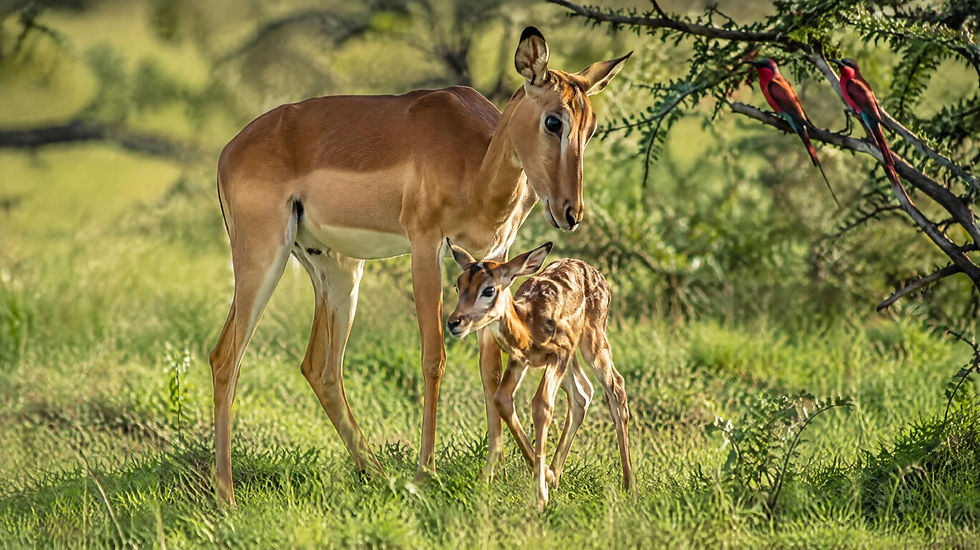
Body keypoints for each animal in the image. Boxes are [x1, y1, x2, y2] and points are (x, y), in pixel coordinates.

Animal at [446, 240, 634, 510]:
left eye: (489, 289)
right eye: (458, 285)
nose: (454, 322)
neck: (528, 326)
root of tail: (592, 271)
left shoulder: (559, 354)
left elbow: (541, 404)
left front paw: (540, 494)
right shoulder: (519, 360)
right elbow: (502, 399)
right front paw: (546, 475)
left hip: (592, 343)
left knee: (616, 389)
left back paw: (629, 486)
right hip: (572, 360)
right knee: (582, 394)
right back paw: (556, 474)